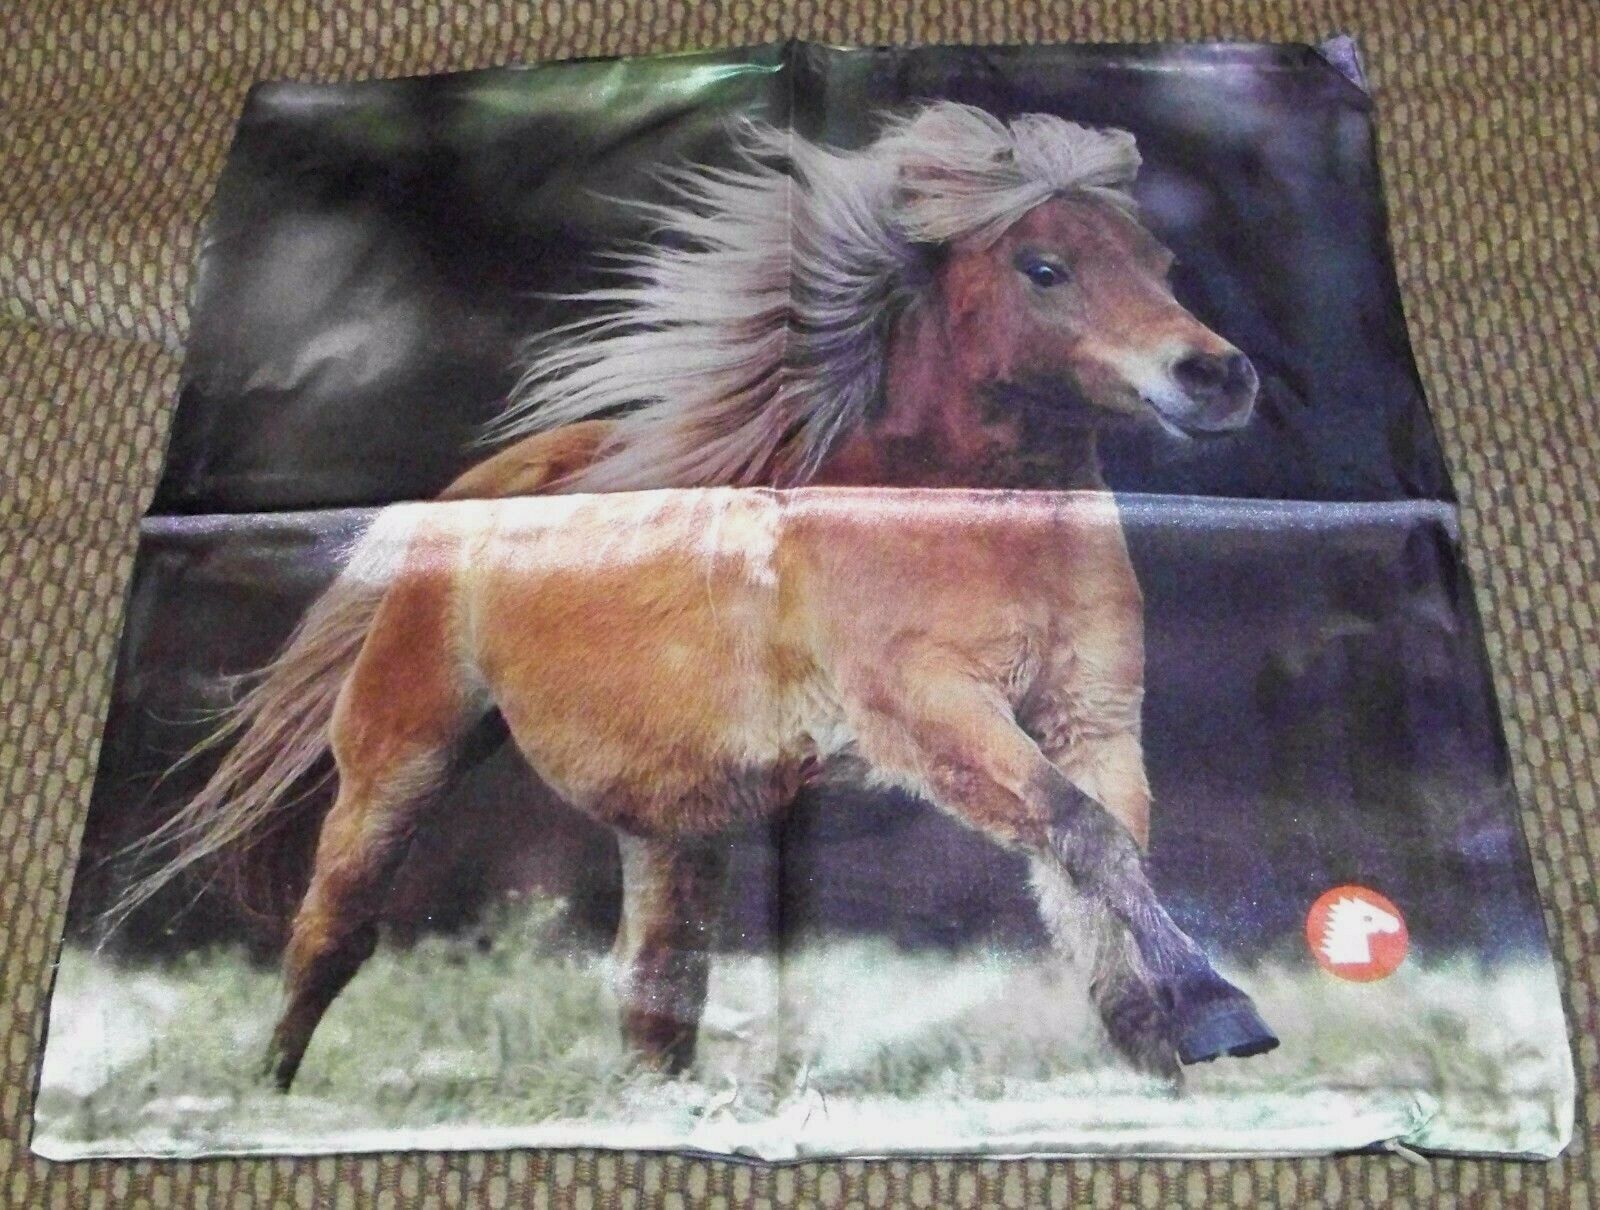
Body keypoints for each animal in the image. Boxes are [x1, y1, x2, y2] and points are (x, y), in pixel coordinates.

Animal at [113, 102, 1266, 1085]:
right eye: (1045, 267)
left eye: (1159, 263)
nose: (1216, 375)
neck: (968, 527)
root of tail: (477, 492)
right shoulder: (929, 712)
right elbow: (1081, 834)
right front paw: (1217, 1016)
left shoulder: (1089, 717)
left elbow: (1095, 858)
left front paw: (1159, 1042)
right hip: (400, 761)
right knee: (333, 935)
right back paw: (260, 1099)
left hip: (671, 826)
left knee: (655, 997)